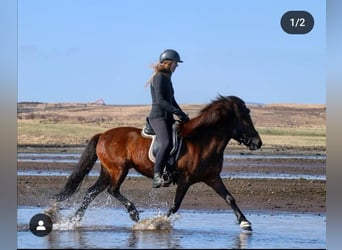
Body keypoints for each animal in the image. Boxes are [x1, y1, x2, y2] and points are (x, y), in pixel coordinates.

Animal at [55, 95, 262, 230]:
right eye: (245, 119)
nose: (258, 143)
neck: (202, 141)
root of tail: (103, 134)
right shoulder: (186, 180)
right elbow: (175, 205)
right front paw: (158, 222)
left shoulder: (212, 177)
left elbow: (229, 198)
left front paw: (245, 222)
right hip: (119, 169)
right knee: (112, 190)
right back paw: (133, 213)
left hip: (108, 171)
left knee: (92, 192)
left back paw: (74, 220)